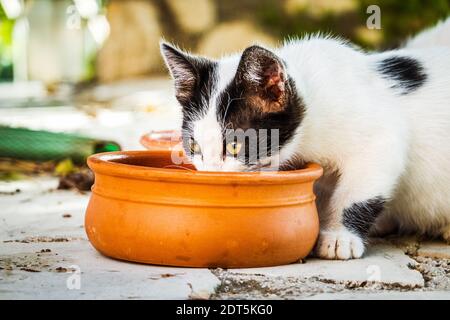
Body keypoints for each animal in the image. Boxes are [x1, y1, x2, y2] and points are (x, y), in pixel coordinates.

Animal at [161, 18, 450, 260]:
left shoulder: (381, 136)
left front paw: (339, 235)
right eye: (194, 145)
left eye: (235, 145)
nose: (211, 174)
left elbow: (357, 189)